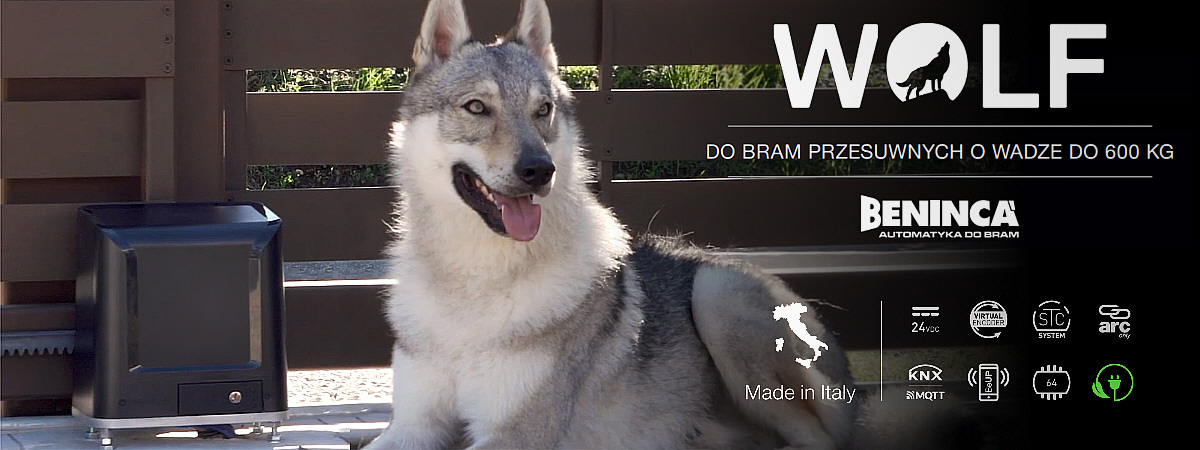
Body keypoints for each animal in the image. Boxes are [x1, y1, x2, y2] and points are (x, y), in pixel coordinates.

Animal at [366, 0, 857, 448]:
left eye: (542, 110)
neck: (471, 286)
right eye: (476, 107)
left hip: (717, 295)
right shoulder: (414, 426)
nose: (539, 170)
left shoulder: (516, 434)